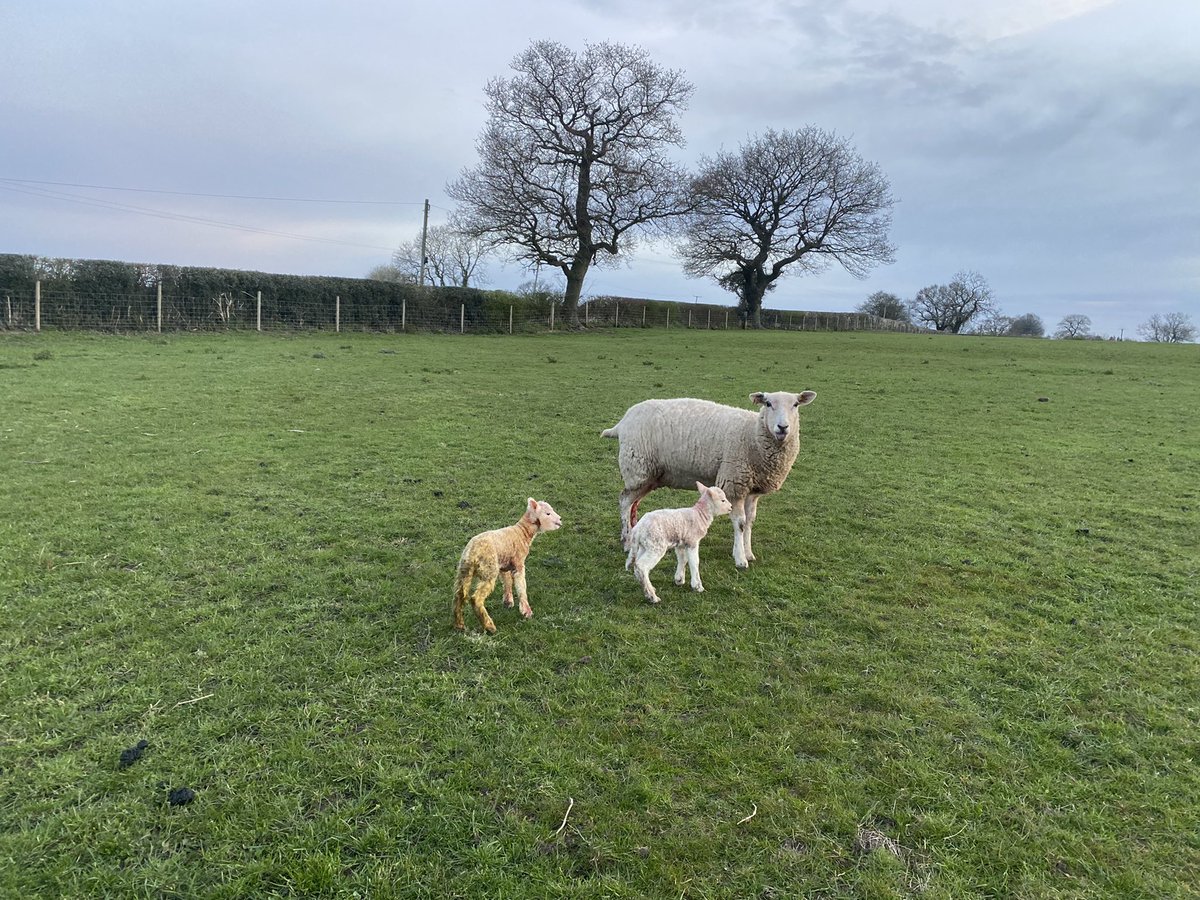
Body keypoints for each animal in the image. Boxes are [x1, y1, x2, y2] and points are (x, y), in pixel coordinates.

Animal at [453, 497, 562, 634]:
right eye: (548, 513)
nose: (560, 520)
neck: (523, 532)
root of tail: (472, 553)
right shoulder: (519, 564)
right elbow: (521, 587)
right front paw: (526, 612)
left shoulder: (504, 566)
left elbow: (507, 582)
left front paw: (508, 602)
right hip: (488, 570)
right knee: (476, 598)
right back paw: (489, 626)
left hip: (464, 571)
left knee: (459, 595)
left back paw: (459, 625)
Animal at [601, 390, 816, 568]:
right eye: (768, 403)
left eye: (796, 404)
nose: (783, 427)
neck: (752, 435)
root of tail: (622, 423)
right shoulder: (734, 484)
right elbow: (740, 523)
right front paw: (740, 559)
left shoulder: (752, 490)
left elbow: (750, 522)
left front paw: (748, 552)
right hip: (637, 468)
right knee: (624, 501)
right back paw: (627, 540)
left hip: (649, 476)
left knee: (633, 504)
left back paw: (633, 534)